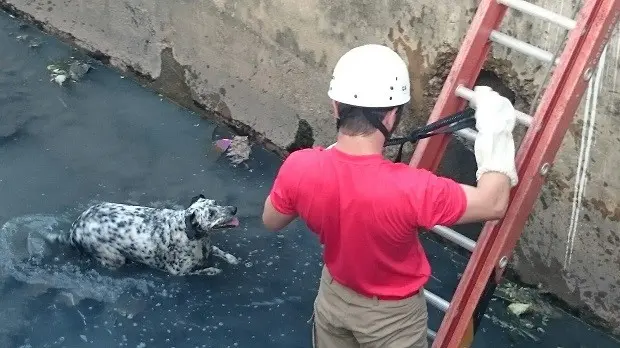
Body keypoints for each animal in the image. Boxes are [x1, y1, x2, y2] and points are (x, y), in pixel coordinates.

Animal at [47, 194, 241, 276]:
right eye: (211, 214)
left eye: (216, 202)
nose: (234, 208)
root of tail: (74, 229)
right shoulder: (178, 272)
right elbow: (200, 271)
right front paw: (212, 270)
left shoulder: (209, 248)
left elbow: (219, 251)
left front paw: (232, 259)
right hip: (114, 259)